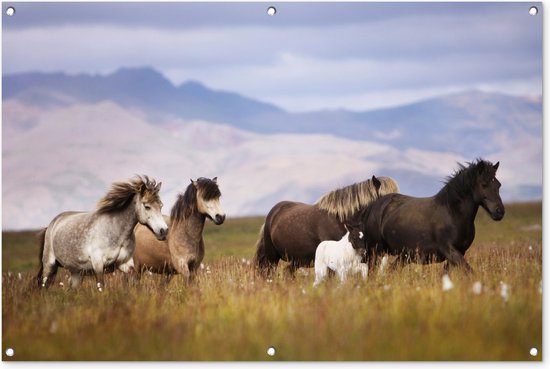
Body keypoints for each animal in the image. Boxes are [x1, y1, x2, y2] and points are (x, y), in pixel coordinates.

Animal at [36, 175, 168, 290]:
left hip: (77, 272)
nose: (164, 231)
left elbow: (133, 278)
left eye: (161, 206)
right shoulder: (98, 265)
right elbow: (101, 287)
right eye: (147, 206)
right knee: (43, 285)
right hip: (49, 265)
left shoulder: (124, 264)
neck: (116, 232)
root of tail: (53, 223)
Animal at [364, 159, 506, 274]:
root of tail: (377, 203)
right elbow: (469, 271)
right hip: (376, 251)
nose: (499, 211)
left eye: (498, 185)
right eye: (484, 184)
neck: (452, 213)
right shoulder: (450, 250)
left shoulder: (458, 252)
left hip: (403, 256)